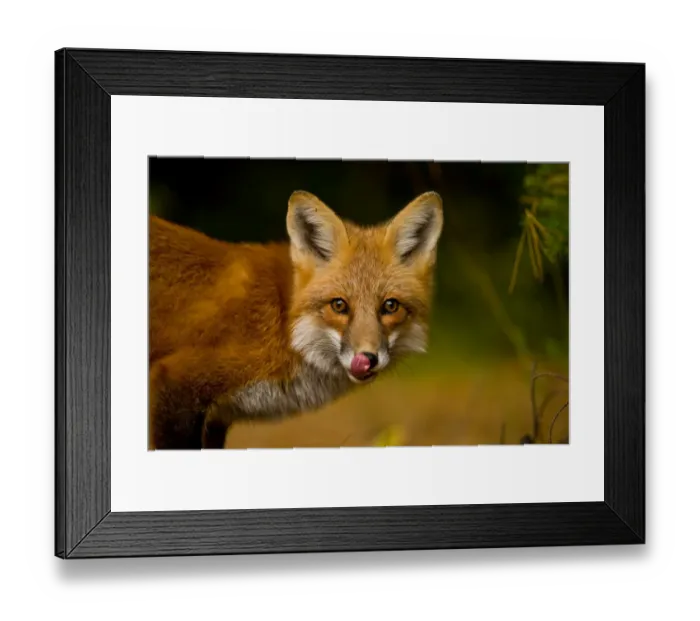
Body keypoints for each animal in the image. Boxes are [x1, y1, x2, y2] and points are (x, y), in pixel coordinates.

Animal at [149, 190, 443, 449]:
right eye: (339, 305)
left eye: (390, 306)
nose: (367, 358)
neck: (283, 324)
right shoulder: (176, 386)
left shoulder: (216, 420)